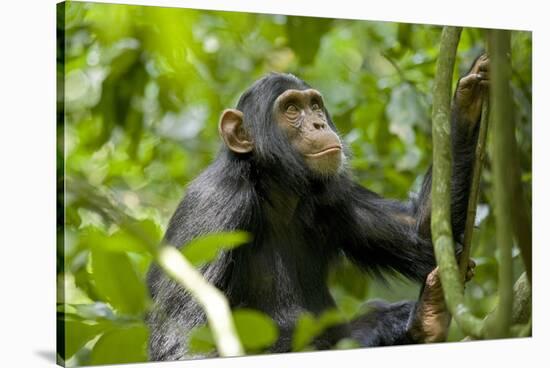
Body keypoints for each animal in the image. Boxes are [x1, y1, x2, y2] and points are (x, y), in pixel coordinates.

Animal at [147, 54, 492, 360]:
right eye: (290, 109)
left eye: (313, 105)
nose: (317, 122)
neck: (274, 189)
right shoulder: (214, 206)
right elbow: (185, 344)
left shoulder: (334, 194)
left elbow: (419, 231)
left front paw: (469, 93)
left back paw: (425, 319)